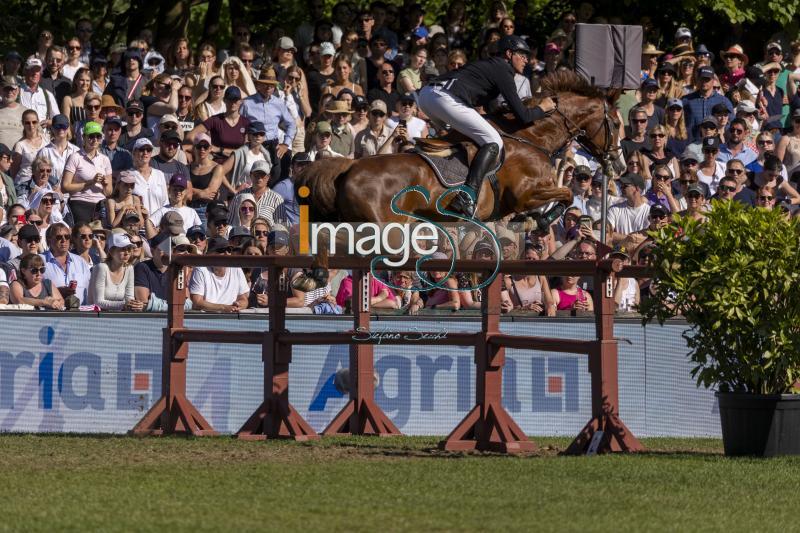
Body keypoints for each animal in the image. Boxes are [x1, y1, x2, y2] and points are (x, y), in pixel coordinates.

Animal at [294, 69, 620, 223]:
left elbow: (565, 196)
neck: (531, 137)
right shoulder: (525, 195)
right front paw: (543, 221)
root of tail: (348, 167)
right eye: (616, 124)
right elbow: (567, 194)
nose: (616, 162)